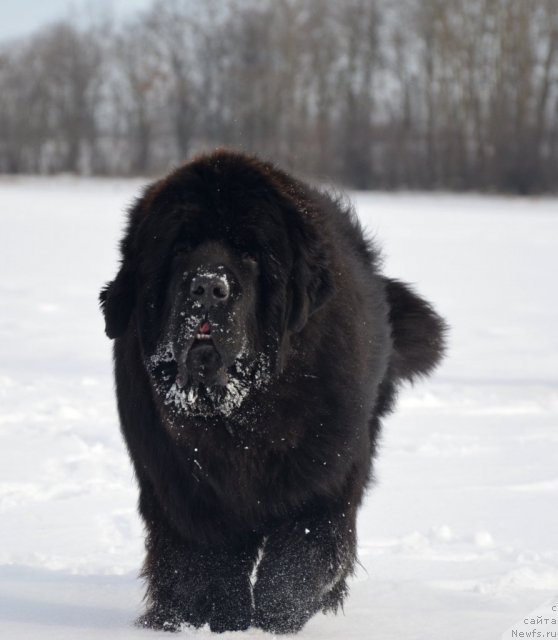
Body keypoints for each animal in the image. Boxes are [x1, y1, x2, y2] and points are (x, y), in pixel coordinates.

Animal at [100, 151, 448, 636]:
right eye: (181, 248)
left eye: (250, 255)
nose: (208, 286)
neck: (238, 417)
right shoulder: (184, 489)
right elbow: (204, 564)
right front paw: (216, 622)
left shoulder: (324, 481)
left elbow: (299, 561)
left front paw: (272, 621)